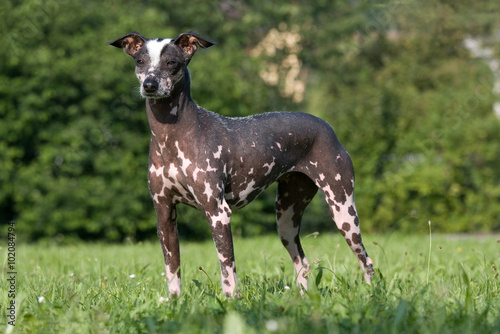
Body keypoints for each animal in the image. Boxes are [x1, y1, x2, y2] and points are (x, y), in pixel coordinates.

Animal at [109, 32, 376, 298]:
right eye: (140, 61)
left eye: (171, 63)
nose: (150, 85)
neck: (171, 135)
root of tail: (327, 126)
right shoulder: (164, 216)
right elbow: (172, 271)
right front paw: (175, 302)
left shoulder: (218, 213)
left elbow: (227, 271)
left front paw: (230, 301)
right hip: (286, 219)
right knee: (303, 262)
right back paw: (303, 298)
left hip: (343, 210)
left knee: (366, 260)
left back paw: (371, 294)